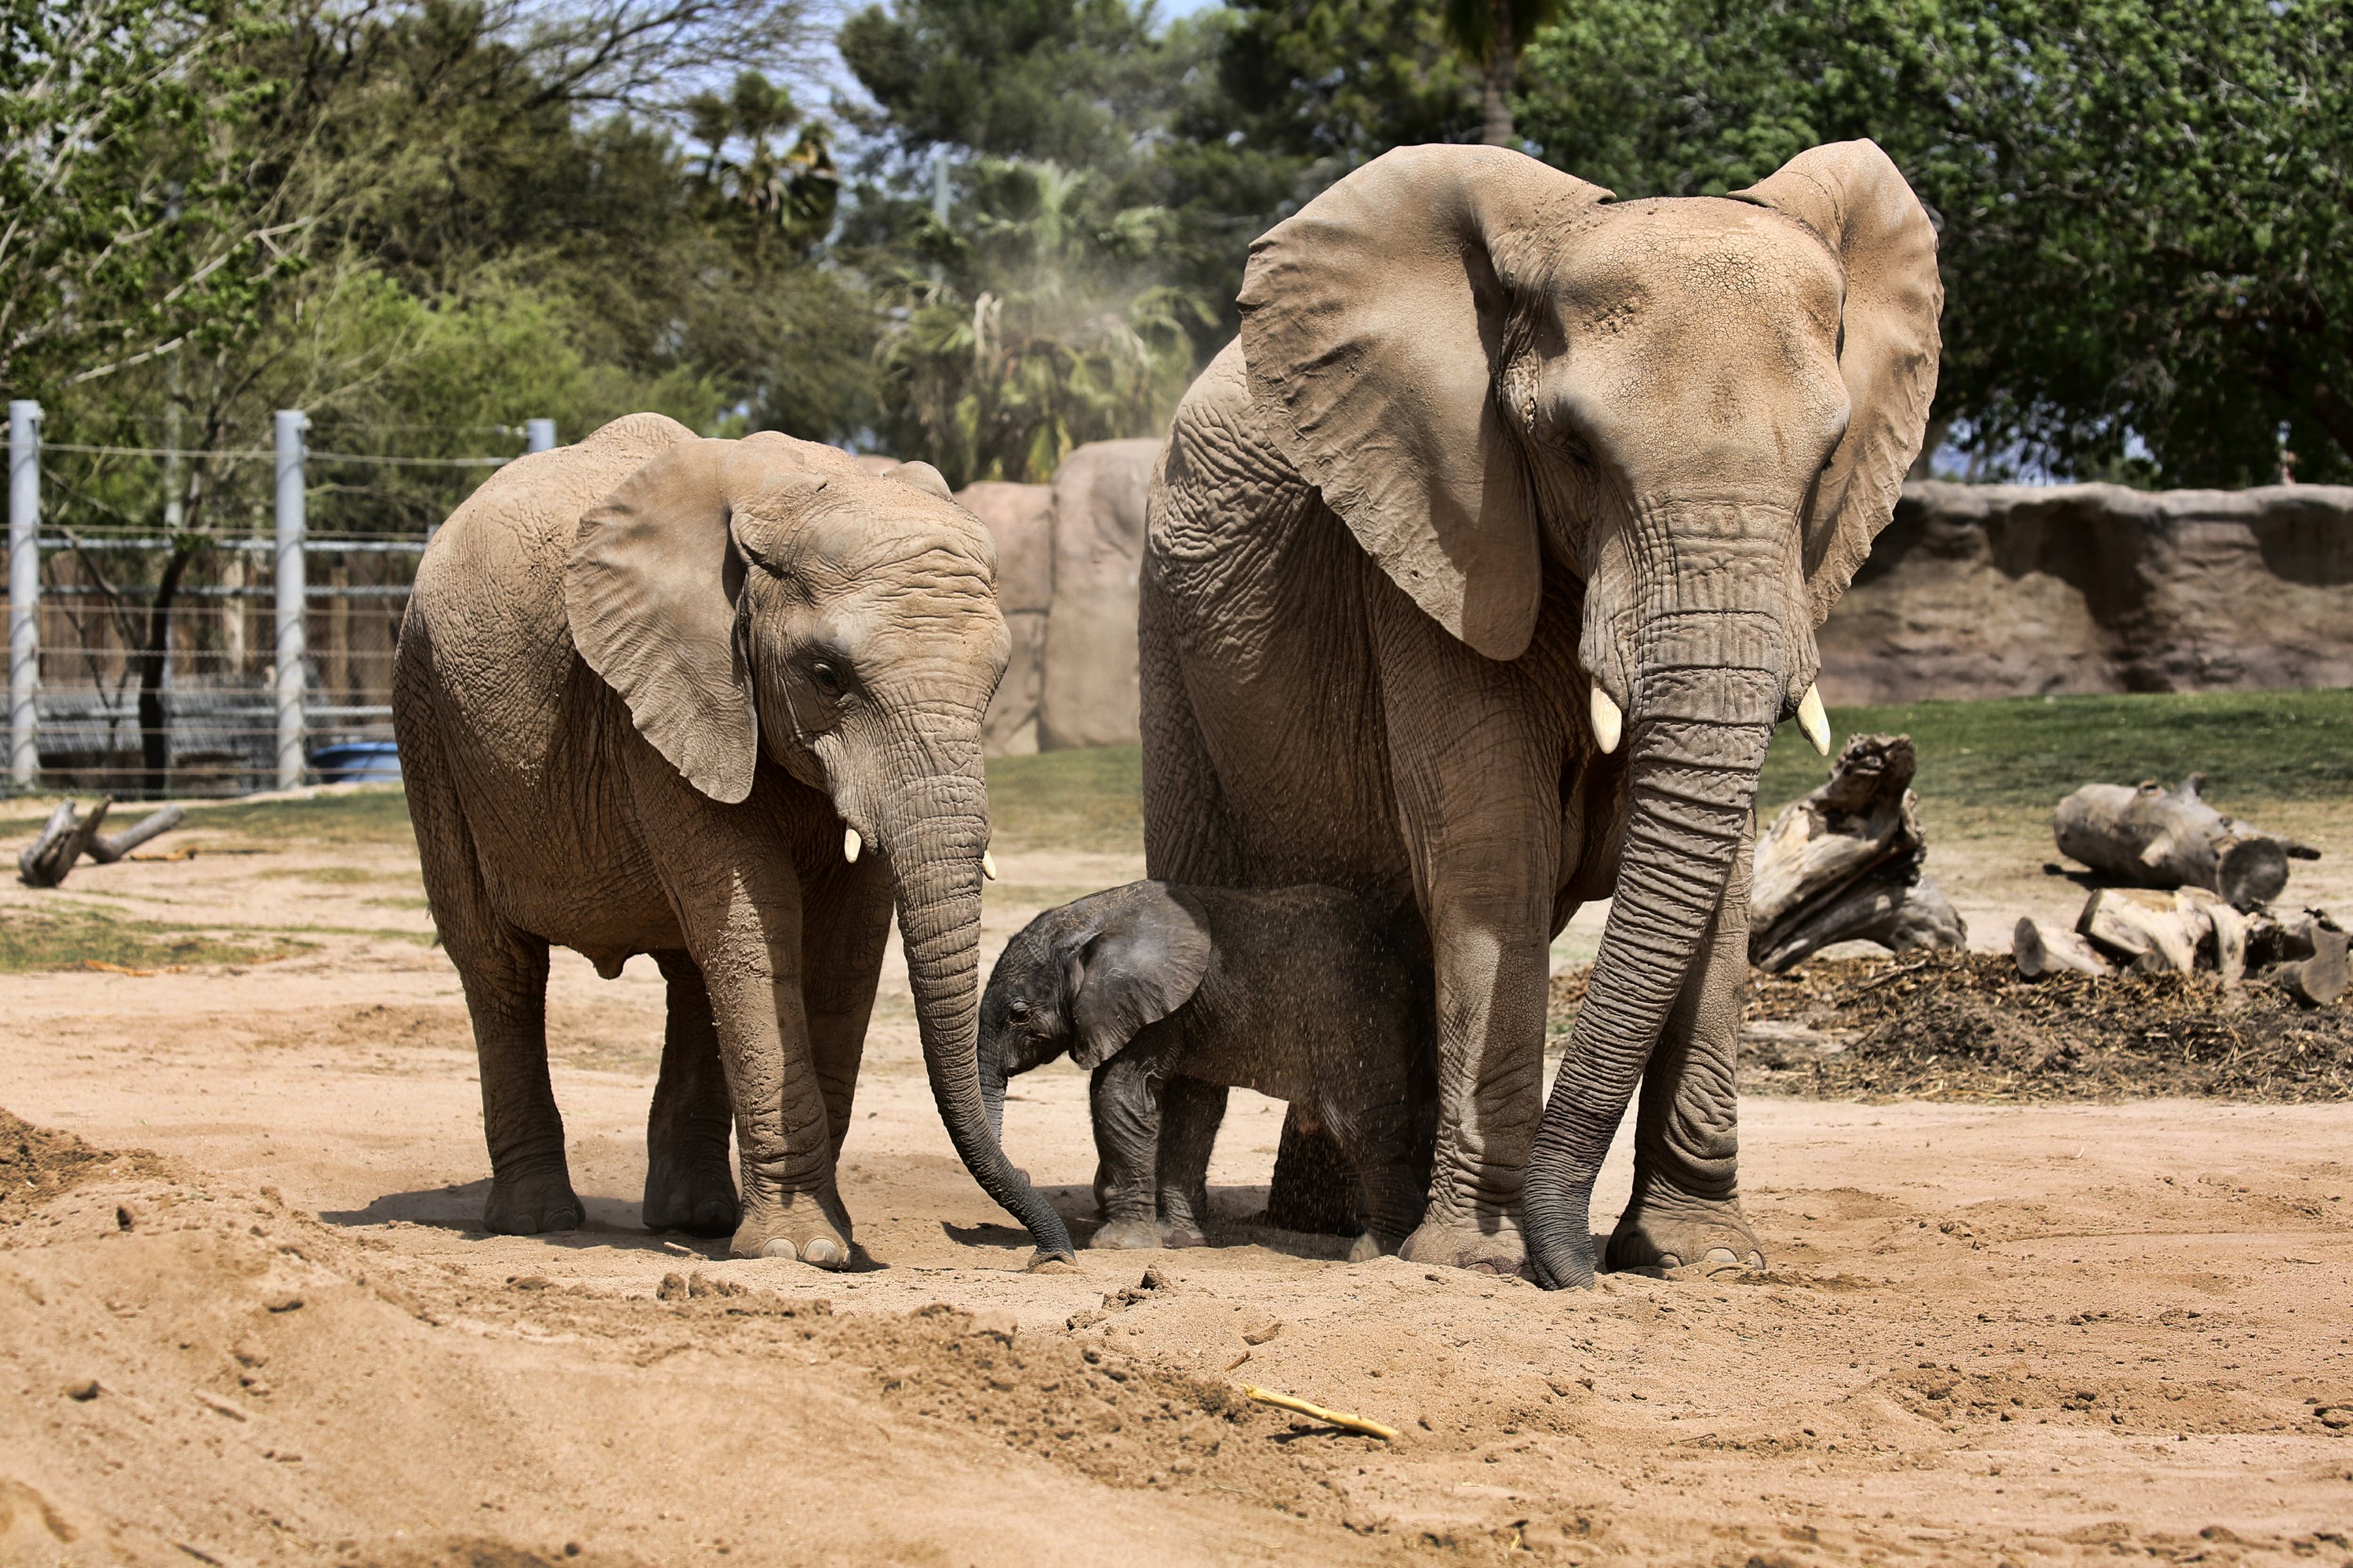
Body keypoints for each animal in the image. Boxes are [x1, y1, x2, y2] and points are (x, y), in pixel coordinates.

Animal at [398, 409, 1078, 1261]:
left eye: (998, 677)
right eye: (827, 676)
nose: (1051, 1252)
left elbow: (847, 943)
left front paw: (828, 1240)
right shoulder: (660, 695)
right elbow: (759, 921)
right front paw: (803, 1251)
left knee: (694, 969)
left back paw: (695, 1220)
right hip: (426, 710)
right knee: (498, 962)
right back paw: (537, 1220)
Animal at [979, 880, 1431, 1261]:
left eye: (1019, 1014)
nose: (1025, 1171)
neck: (1092, 917)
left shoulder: (1148, 1006)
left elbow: (1119, 1095)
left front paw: (1120, 1247)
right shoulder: (1180, 1012)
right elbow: (1191, 1108)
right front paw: (1178, 1241)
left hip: (1356, 1011)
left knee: (1358, 1122)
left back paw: (1375, 1251)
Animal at [1134, 140, 1929, 1280]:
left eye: (1828, 462)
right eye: (1576, 452)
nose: (1575, 1267)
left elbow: (1726, 883)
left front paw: (1701, 1259)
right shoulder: (1444, 536)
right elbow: (1493, 851)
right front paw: (1475, 1258)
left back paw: (1342, 1226)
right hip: (1168, 628)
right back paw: (1222, 1231)